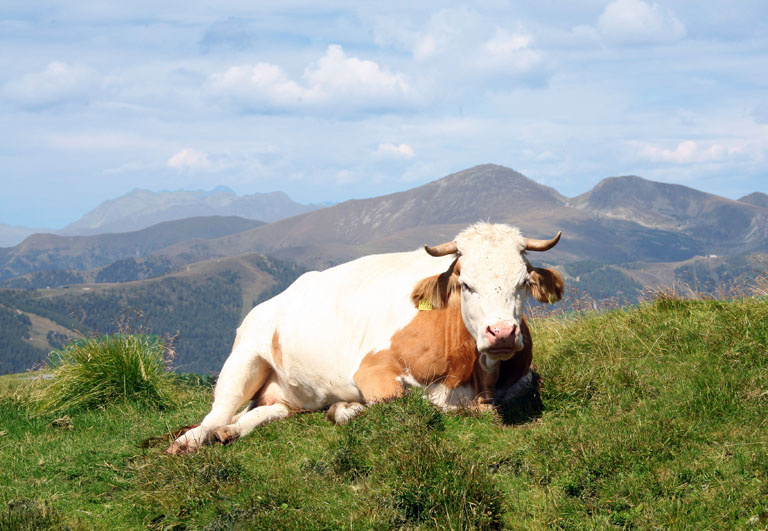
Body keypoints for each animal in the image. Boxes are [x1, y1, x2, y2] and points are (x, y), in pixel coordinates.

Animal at [167, 222, 563, 454]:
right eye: (466, 284)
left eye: (522, 283)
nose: (502, 333)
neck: (473, 373)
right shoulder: (372, 369)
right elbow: (404, 402)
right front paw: (346, 409)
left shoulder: (522, 378)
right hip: (244, 355)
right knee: (217, 412)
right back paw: (190, 440)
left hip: (287, 394)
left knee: (265, 411)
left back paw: (231, 432)